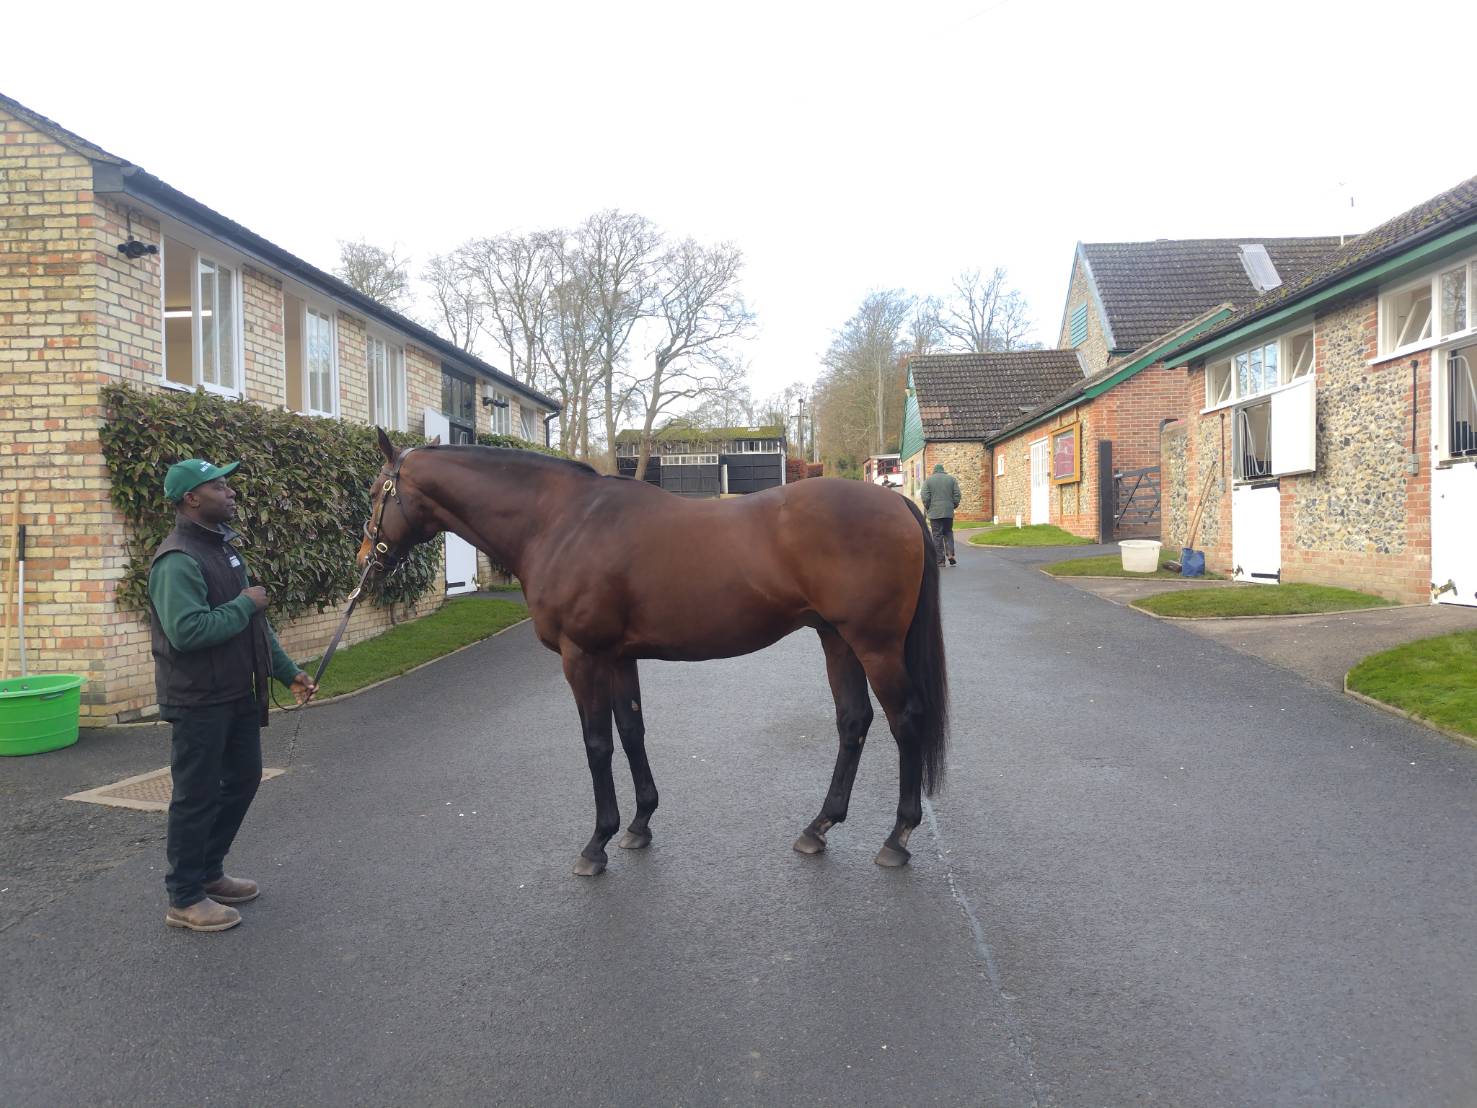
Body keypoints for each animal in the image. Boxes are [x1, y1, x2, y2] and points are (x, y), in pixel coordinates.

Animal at [363, 431, 951, 874]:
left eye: (376, 491)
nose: (368, 560)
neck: (560, 522)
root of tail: (897, 501)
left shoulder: (582, 657)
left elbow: (597, 744)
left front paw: (596, 843)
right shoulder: (619, 657)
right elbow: (631, 731)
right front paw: (639, 824)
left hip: (874, 644)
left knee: (905, 720)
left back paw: (897, 837)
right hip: (837, 639)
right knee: (853, 721)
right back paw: (818, 827)